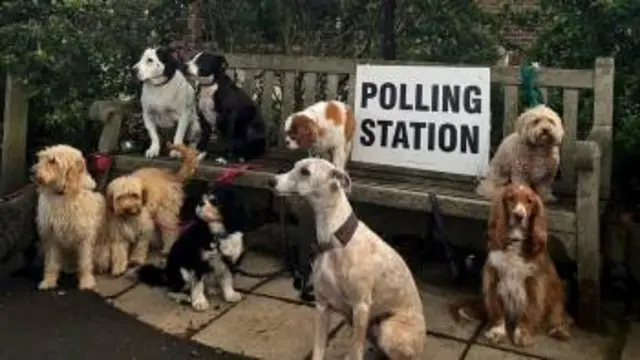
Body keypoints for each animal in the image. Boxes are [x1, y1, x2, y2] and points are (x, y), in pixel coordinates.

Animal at [31, 143, 105, 290]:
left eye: (53, 161)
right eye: (41, 158)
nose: (32, 172)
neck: (64, 195)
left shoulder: (84, 237)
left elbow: (85, 262)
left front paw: (86, 282)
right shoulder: (51, 236)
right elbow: (51, 263)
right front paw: (49, 281)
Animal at [268, 158, 424, 360]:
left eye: (305, 171)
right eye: (295, 166)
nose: (271, 181)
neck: (335, 240)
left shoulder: (361, 307)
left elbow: (357, 350)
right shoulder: (322, 306)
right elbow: (318, 349)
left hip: (388, 330)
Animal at [456, 184, 568, 348]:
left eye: (529, 201)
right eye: (510, 198)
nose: (519, 215)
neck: (515, 241)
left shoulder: (533, 282)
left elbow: (529, 310)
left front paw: (523, 334)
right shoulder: (494, 276)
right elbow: (497, 309)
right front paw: (497, 332)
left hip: (557, 291)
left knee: (557, 314)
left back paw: (558, 330)